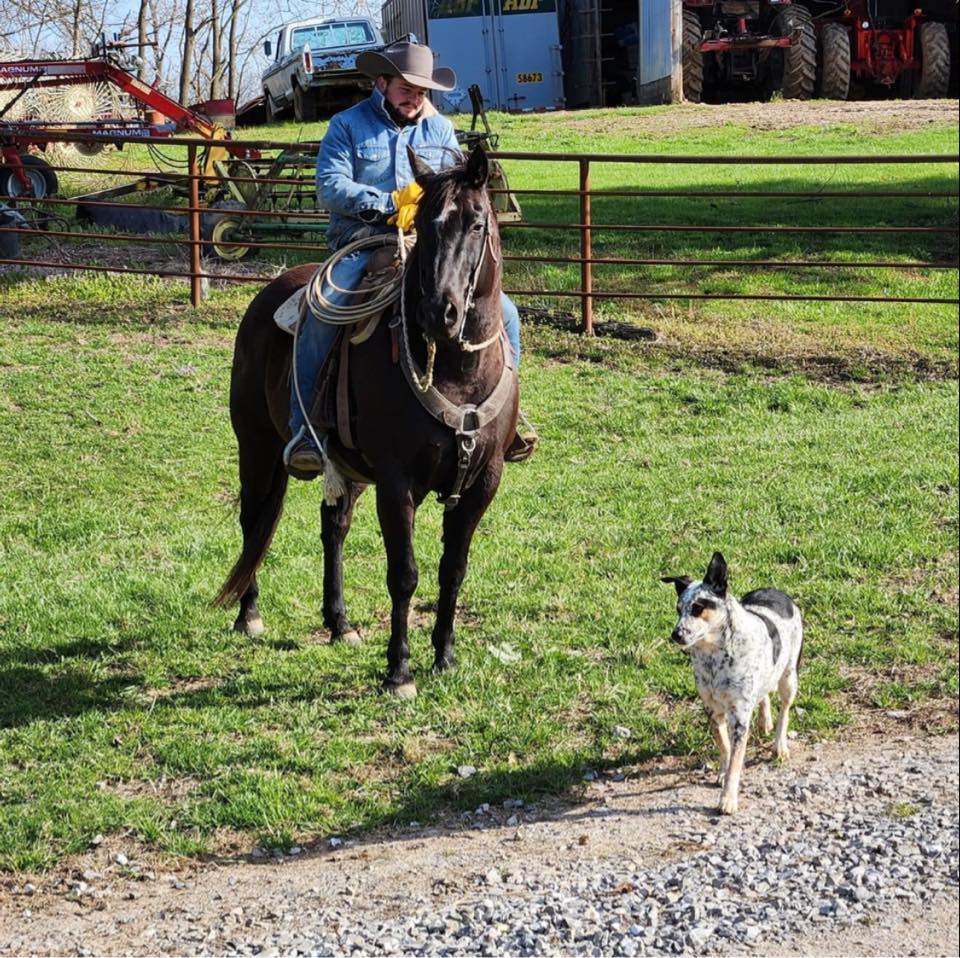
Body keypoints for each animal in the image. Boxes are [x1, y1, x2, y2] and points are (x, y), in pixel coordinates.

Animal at [215, 146, 520, 696]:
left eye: (476, 222)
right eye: (424, 223)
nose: (438, 312)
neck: (456, 371)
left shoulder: (483, 481)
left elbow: (453, 570)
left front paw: (445, 656)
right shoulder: (397, 483)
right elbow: (404, 574)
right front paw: (399, 671)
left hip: (348, 465)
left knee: (333, 526)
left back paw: (339, 623)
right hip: (257, 445)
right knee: (254, 522)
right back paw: (248, 615)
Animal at [660, 556, 804, 816]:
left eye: (698, 607)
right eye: (678, 609)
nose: (675, 635)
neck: (714, 657)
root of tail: (779, 592)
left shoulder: (739, 717)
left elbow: (736, 760)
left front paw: (728, 799)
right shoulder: (712, 710)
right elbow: (725, 748)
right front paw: (722, 773)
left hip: (789, 677)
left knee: (785, 711)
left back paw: (779, 745)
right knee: (764, 694)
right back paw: (764, 721)